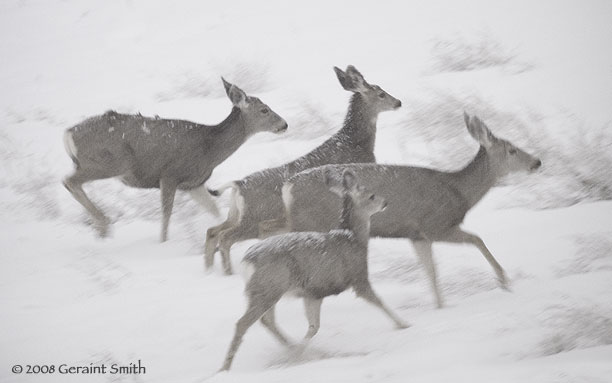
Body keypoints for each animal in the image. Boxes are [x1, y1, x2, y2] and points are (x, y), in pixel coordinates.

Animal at [63, 78, 288, 242]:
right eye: (264, 110)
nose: (284, 124)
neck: (209, 149)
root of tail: (68, 134)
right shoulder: (169, 175)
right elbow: (166, 214)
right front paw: (163, 242)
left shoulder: (193, 184)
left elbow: (214, 210)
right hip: (109, 162)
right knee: (69, 181)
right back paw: (104, 223)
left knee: (71, 182)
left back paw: (100, 229)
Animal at [203, 67, 400, 276]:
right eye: (381, 93)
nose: (398, 102)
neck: (354, 142)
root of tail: (238, 184)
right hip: (252, 218)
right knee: (225, 237)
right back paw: (228, 272)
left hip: (236, 215)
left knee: (213, 232)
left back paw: (210, 270)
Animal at [220, 169, 406, 372]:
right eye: (371, 195)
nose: (386, 202)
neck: (353, 239)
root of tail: (247, 261)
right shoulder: (358, 276)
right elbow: (379, 301)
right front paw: (403, 324)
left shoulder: (313, 292)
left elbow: (313, 326)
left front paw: (301, 351)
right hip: (268, 286)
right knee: (243, 323)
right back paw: (225, 368)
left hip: (267, 289)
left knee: (267, 321)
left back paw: (290, 346)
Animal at [276, 113, 540, 308]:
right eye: (512, 149)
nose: (536, 162)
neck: (459, 192)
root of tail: (288, 187)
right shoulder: (436, 225)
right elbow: (477, 240)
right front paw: (504, 281)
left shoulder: (417, 236)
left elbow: (431, 271)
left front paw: (440, 306)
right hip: (309, 225)